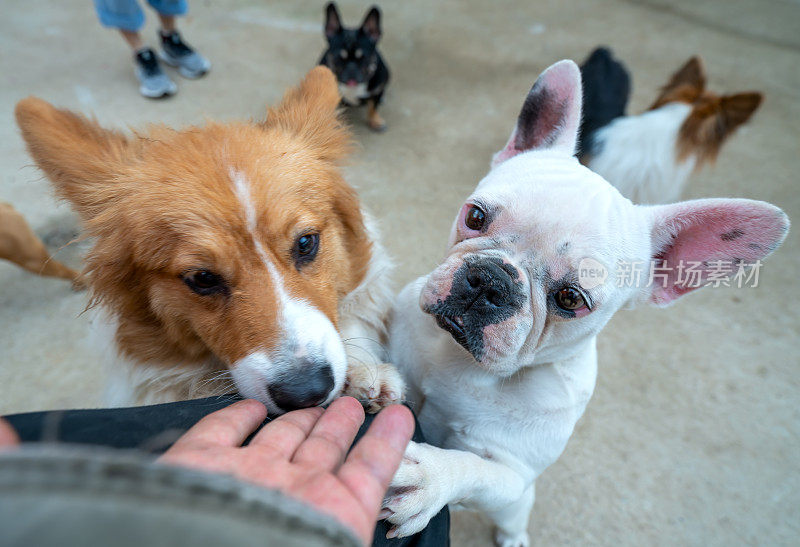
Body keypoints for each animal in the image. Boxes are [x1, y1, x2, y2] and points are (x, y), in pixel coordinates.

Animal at [322, 2, 390, 132]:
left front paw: (375, 120)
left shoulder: (377, 89)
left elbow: (373, 107)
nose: (351, 70)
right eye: (339, 58)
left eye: (363, 58)